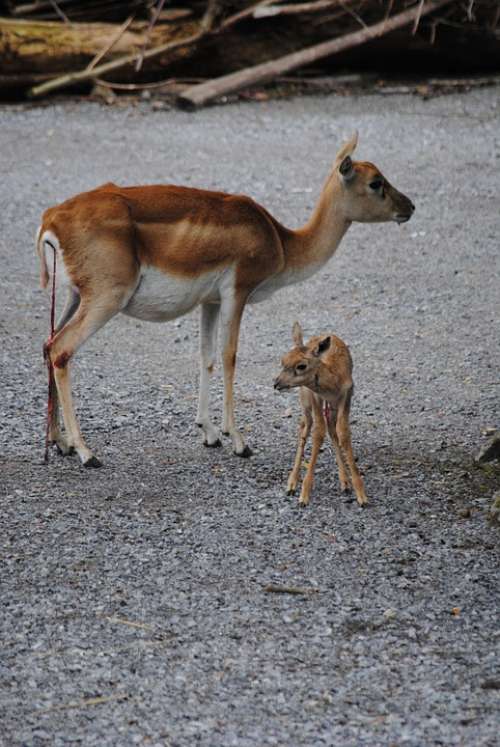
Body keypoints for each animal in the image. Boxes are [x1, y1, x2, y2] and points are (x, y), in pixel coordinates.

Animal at [36, 130, 414, 468]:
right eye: (376, 182)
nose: (409, 206)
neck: (281, 241)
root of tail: (51, 219)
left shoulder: (211, 302)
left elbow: (206, 357)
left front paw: (209, 432)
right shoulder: (238, 291)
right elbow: (229, 356)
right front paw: (239, 441)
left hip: (73, 296)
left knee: (47, 344)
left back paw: (59, 442)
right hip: (106, 299)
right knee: (62, 349)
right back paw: (86, 452)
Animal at [274, 322, 368, 508]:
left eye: (301, 366)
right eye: (282, 360)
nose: (276, 383)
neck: (331, 384)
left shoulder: (346, 395)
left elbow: (343, 433)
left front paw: (361, 494)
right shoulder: (314, 396)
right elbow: (318, 433)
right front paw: (304, 495)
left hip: (330, 406)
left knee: (331, 427)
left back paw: (344, 481)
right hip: (304, 399)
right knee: (305, 426)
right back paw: (291, 484)